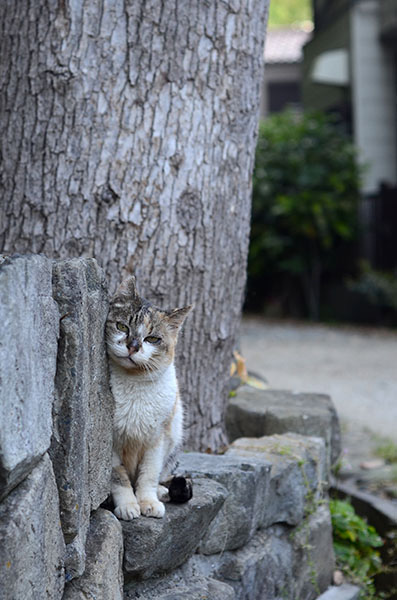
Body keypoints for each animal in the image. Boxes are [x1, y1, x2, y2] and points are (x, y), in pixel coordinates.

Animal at [105, 276, 192, 520]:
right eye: (122, 327)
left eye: (152, 339)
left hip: (174, 437)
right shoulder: (112, 444)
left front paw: (149, 502)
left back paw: (162, 492)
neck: (135, 384)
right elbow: (118, 478)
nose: (132, 346)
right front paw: (128, 505)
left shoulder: (156, 440)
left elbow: (148, 475)